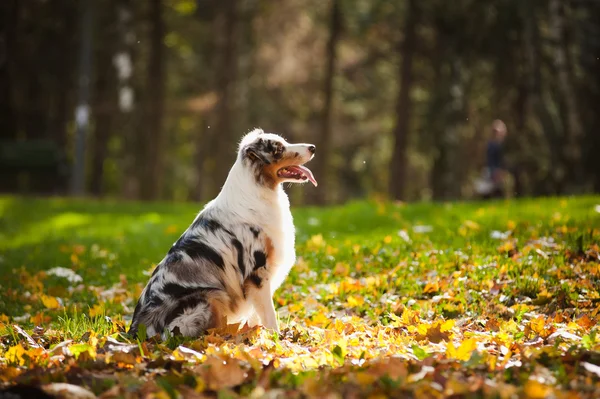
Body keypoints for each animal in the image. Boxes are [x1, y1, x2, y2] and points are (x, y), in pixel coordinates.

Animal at [125, 130, 314, 340]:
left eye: (285, 142)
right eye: (279, 149)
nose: (313, 147)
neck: (257, 189)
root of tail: (135, 331)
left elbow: (257, 316)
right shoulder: (256, 273)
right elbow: (269, 315)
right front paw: (276, 338)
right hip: (210, 297)